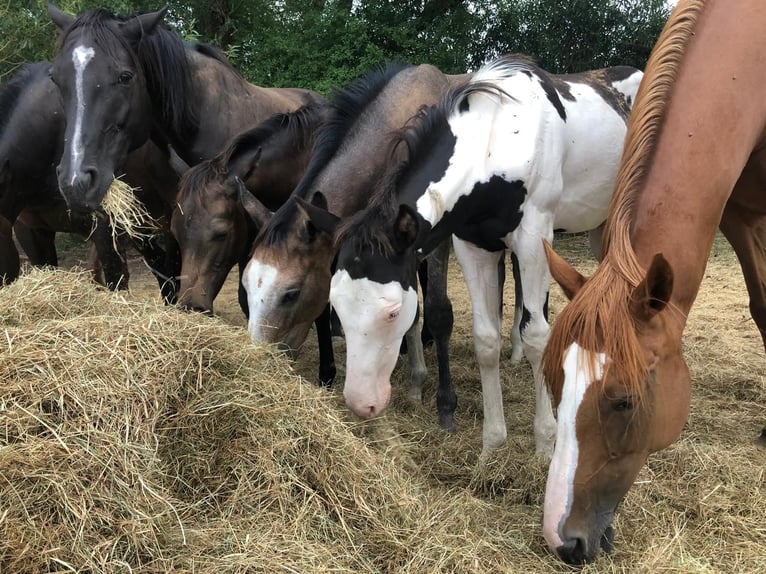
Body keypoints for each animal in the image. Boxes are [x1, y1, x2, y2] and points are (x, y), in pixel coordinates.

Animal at [304, 54, 644, 460]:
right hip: (600, 228)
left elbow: (536, 337)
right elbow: (486, 341)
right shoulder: (472, 246)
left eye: (392, 313)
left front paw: (545, 443)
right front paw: (491, 445)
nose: (360, 404)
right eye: (336, 308)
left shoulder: (533, 240)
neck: (499, 139)